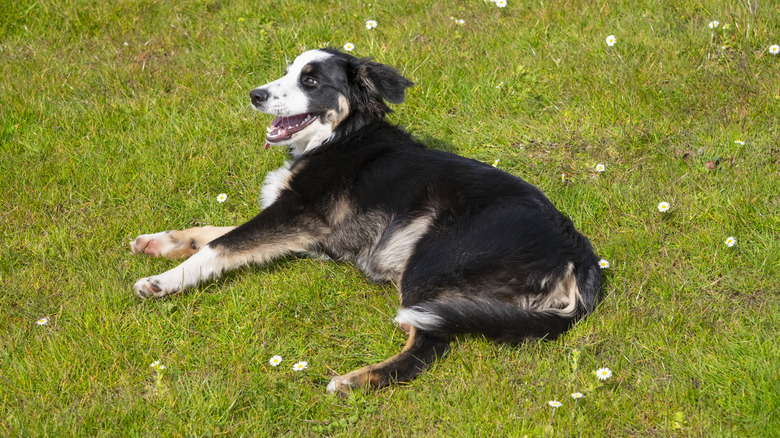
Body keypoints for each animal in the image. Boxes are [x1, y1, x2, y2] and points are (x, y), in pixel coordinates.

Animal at [129, 48, 604, 394]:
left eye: (311, 80)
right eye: (287, 72)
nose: (255, 94)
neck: (341, 135)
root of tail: (579, 256)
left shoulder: (298, 216)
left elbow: (218, 245)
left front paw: (160, 282)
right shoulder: (300, 231)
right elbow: (212, 231)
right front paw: (156, 242)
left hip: (432, 261)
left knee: (427, 346)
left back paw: (354, 380)